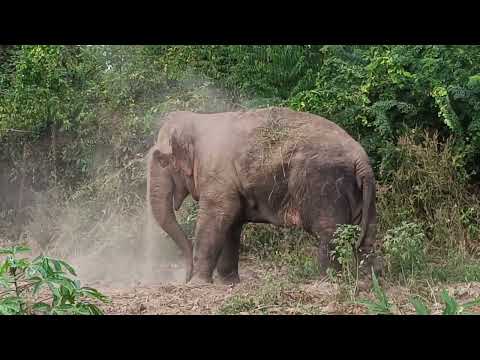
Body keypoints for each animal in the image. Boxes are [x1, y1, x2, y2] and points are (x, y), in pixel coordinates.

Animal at [148, 106, 380, 284]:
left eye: (161, 160)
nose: (184, 278)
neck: (198, 118)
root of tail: (362, 160)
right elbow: (231, 224)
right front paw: (228, 283)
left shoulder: (217, 177)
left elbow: (215, 218)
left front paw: (198, 284)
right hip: (361, 192)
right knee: (367, 233)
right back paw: (368, 280)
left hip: (324, 185)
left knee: (329, 232)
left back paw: (324, 280)